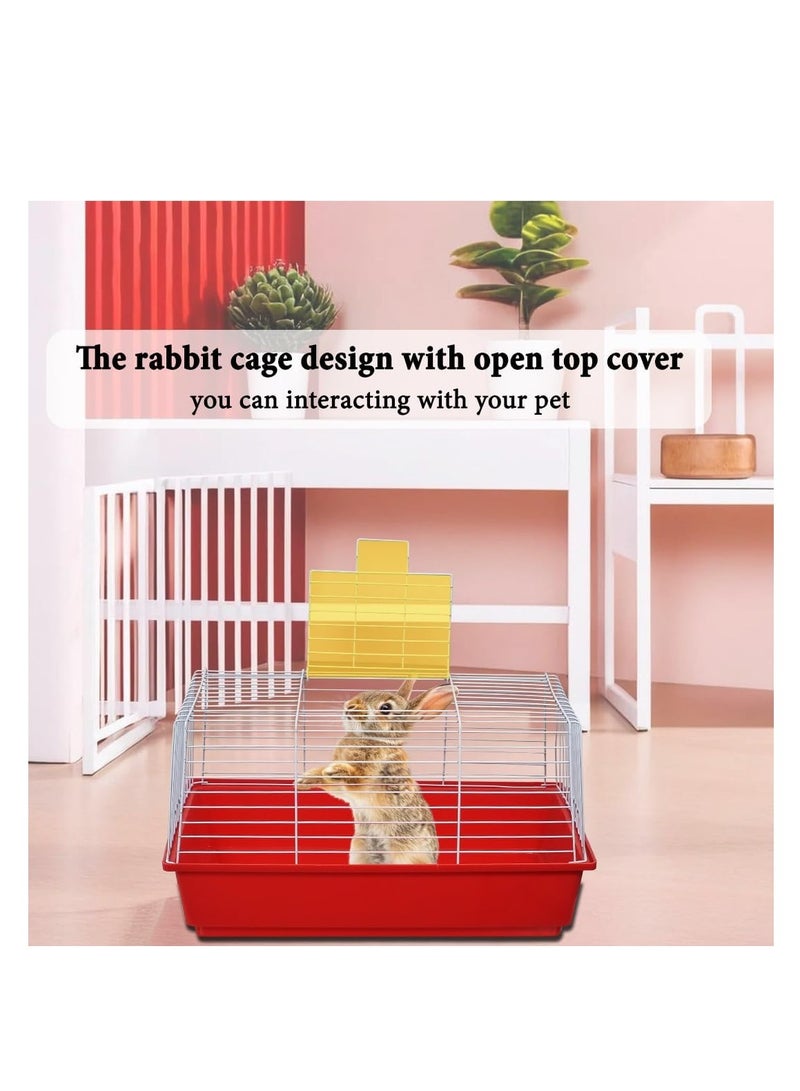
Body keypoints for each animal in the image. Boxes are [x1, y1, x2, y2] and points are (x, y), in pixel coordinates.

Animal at [296, 679, 455, 864]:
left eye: (386, 708)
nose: (350, 706)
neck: (375, 738)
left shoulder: (366, 778)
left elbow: (355, 777)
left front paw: (335, 770)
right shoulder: (341, 790)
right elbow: (329, 782)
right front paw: (303, 780)